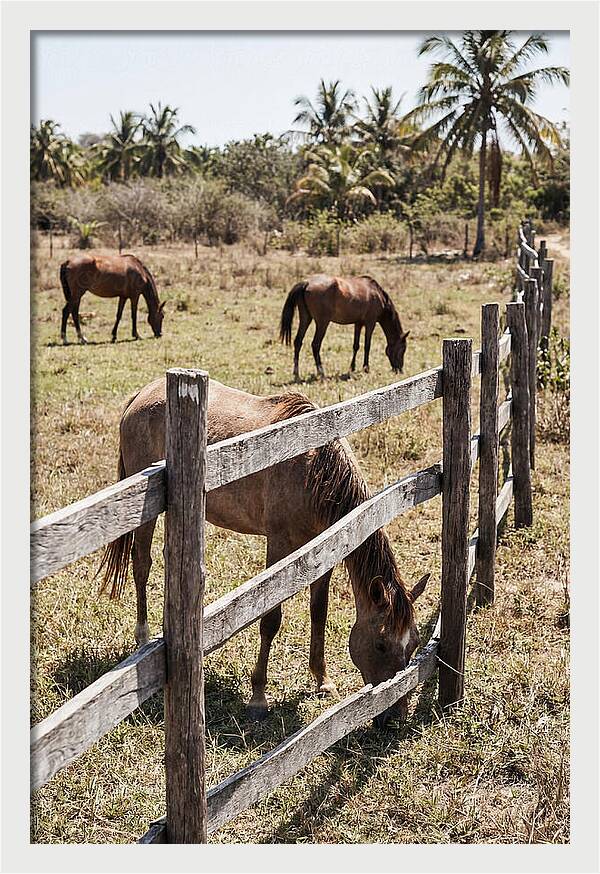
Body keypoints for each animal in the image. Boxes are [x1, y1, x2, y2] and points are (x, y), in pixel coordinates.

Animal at [98, 377, 430, 726]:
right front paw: (258, 697)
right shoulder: (279, 544)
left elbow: (319, 612)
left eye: (414, 644)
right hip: (144, 512)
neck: (313, 468)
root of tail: (142, 394)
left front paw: (322, 681)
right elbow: (271, 619)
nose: (395, 715)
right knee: (141, 564)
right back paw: (143, 636)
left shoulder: (324, 549)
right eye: (380, 644)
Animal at [280, 274, 410, 380]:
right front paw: (366, 368)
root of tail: (306, 283)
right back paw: (321, 372)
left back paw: (296, 373)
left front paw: (352, 368)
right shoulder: (370, 323)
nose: (399, 370)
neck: (377, 294)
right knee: (315, 345)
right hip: (322, 323)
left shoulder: (358, 324)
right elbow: (367, 346)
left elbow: (356, 346)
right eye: (402, 349)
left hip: (306, 319)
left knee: (298, 342)